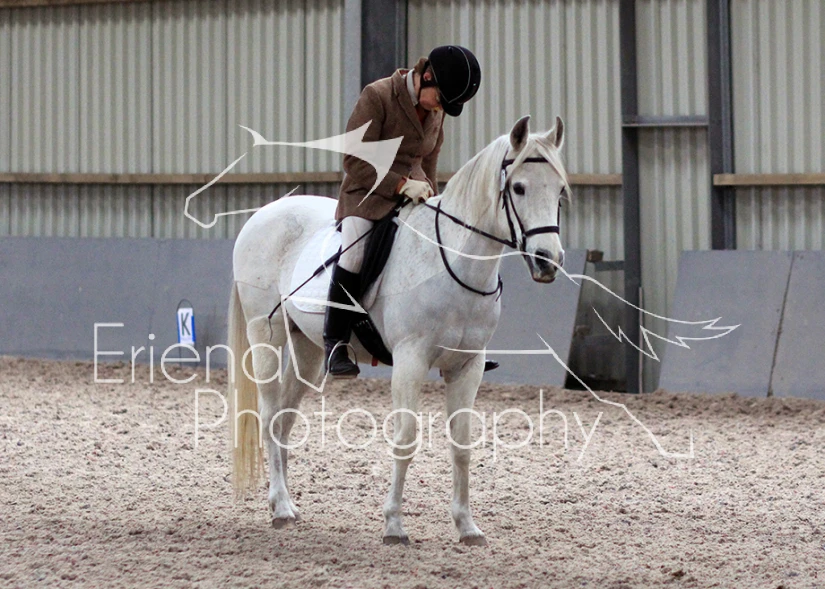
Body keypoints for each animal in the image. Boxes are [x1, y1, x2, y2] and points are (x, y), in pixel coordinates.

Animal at [227, 115, 571, 545]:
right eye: (519, 187)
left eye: (560, 191)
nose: (548, 261)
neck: (454, 262)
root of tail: (263, 214)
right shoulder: (411, 360)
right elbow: (406, 438)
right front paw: (393, 525)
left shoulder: (468, 366)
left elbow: (462, 444)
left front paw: (467, 526)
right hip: (267, 335)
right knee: (270, 411)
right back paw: (280, 508)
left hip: (307, 349)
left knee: (283, 420)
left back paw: (286, 504)